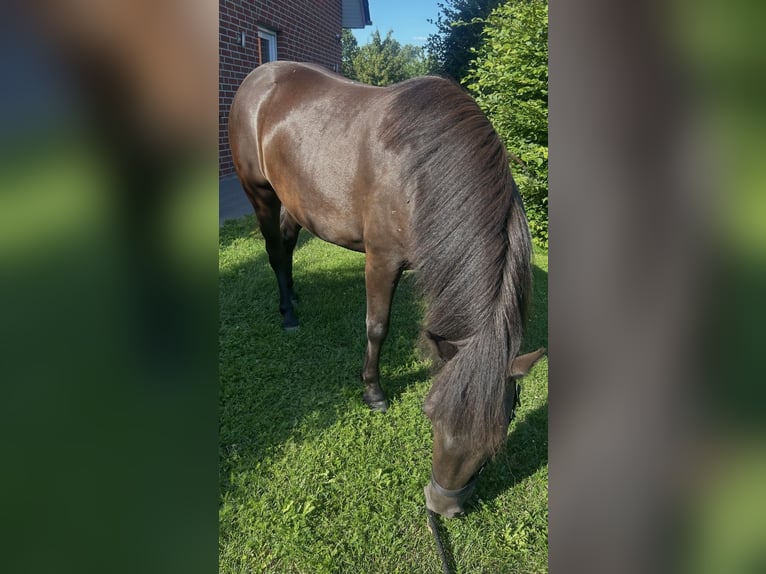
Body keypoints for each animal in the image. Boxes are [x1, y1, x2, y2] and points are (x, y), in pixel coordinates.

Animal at [228, 61, 545, 517]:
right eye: (430, 416)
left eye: (499, 433)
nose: (442, 507)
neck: (420, 175)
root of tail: (259, 76)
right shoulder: (381, 260)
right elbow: (377, 326)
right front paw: (373, 392)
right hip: (261, 194)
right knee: (274, 250)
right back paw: (288, 312)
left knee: (287, 245)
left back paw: (292, 296)